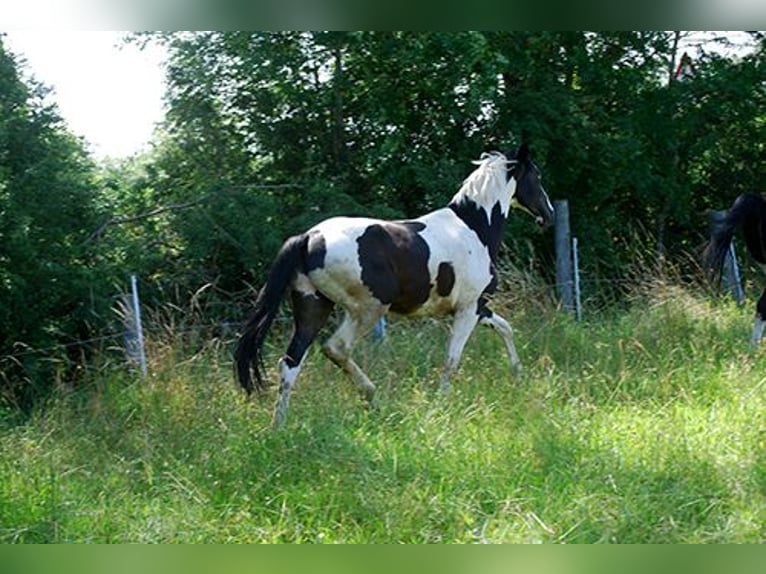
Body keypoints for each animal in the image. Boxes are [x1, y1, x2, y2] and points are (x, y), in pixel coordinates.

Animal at [237, 146, 556, 430]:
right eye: (537, 177)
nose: (549, 215)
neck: (475, 228)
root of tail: (308, 238)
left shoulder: (479, 308)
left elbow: (506, 329)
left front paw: (518, 377)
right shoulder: (467, 310)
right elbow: (452, 360)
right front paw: (441, 405)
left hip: (313, 307)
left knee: (290, 363)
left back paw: (279, 427)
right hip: (368, 310)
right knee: (336, 348)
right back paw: (373, 398)